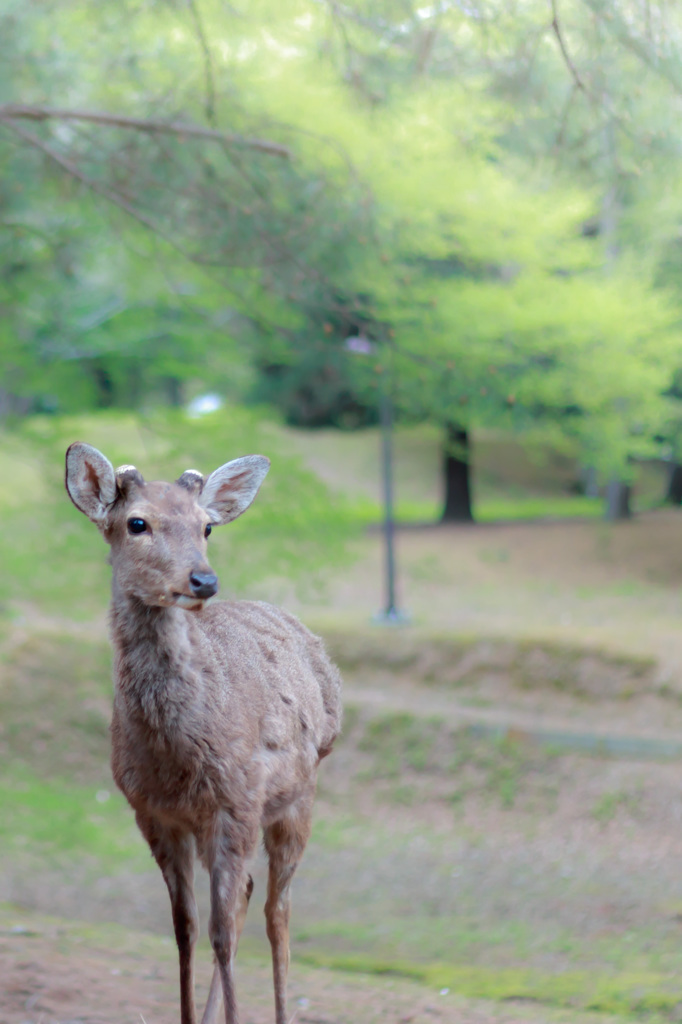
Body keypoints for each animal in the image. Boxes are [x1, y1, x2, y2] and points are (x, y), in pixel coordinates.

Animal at [63, 444, 339, 1024]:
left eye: (206, 526)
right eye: (137, 522)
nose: (203, 581)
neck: (177, 760)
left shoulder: (238, 800)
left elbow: (222, 933)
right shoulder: (154, 813)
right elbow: (186, 930)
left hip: (298, 796)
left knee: (277, 910)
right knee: (248, 895)